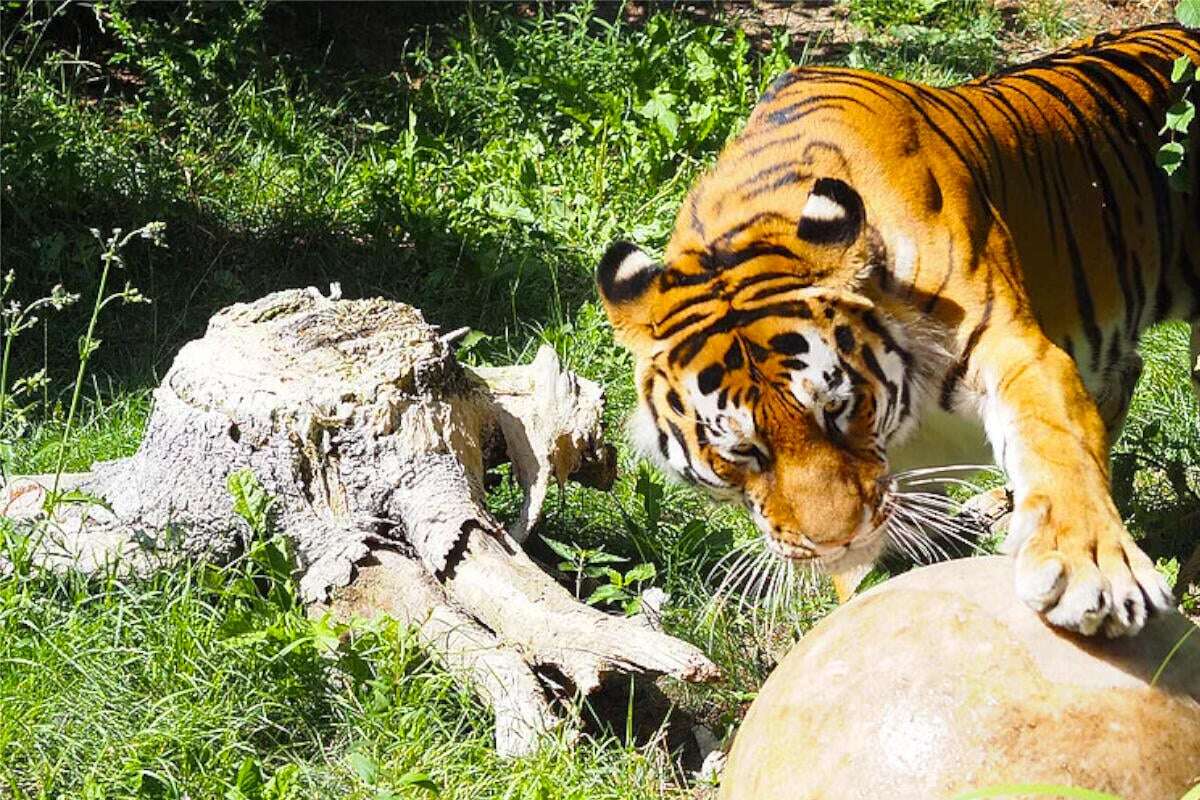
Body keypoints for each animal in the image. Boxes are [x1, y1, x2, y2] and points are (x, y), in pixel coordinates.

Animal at [595, 23, 1195, 638]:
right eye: (742, 450)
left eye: (837, 408)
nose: (837, 541)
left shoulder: (1013, 345)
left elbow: (1056, 440)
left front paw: (1092, 570)